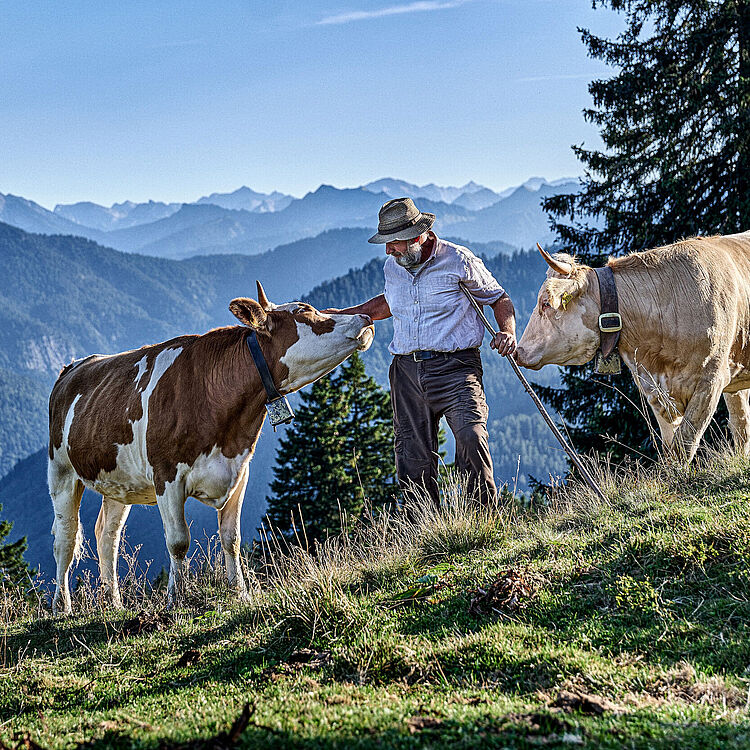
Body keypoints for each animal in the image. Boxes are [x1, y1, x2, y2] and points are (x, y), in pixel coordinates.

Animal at [48, 282, 374, 615]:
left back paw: (114, 603)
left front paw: (240, 593)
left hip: (118, 483)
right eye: (305, 310)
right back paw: (62, 606)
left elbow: (232, 538)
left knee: (107, 537)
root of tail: (73, 367)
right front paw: (176, 599)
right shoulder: (167, 476)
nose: (365, 318)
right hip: (61, 472)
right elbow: (178, 541)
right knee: (65, 540)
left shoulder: (239, 471)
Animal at [515, 232, 750, 462]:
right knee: (741, 423)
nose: (519, 351)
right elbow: (670, 451)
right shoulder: (654, 390)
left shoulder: (710, 382)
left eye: (546, 303)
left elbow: (683, 446)